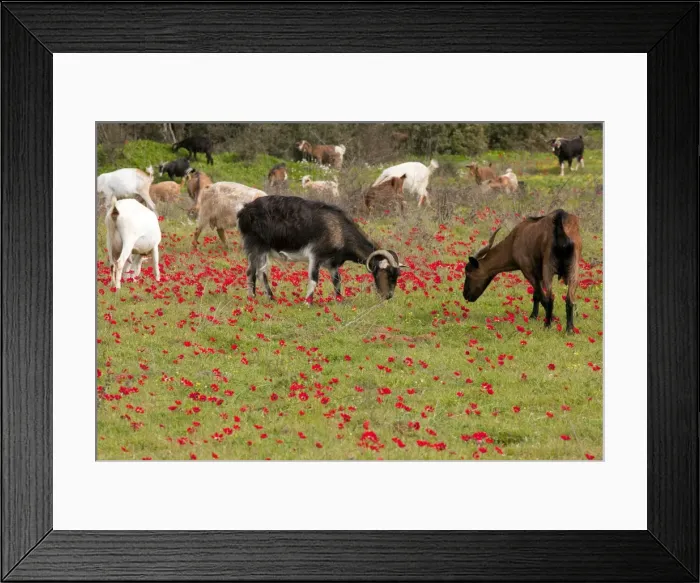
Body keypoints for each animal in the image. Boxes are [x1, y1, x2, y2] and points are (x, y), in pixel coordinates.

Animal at [237, 195, 407, 303]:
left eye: (398, 274)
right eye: (389, 273)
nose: (389, 296)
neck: (339, 230)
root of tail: (244, 212)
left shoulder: (333, 264)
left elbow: (337, 281)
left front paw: (340, 301)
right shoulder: (315, 255)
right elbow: (313, 280)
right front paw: (308, 303)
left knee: (253, 272)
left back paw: (255, 297)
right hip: (258, 246)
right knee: (259, 273)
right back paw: (268, 298)